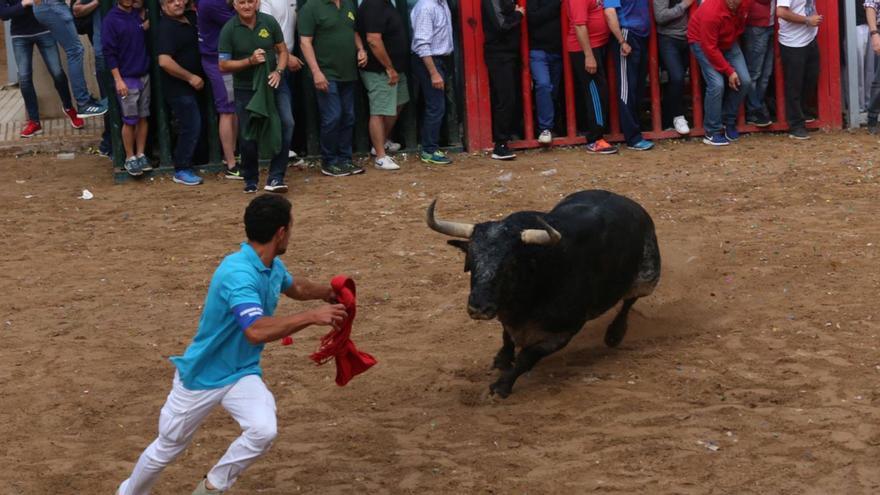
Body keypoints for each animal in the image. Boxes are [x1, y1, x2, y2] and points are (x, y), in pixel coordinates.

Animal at [426, 190, 660, 400]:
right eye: (472, 259)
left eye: (511, 263)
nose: (479, 308)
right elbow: (506, 336)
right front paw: (502, 360)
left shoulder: (562, 332)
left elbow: (527, 357)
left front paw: (501, 387)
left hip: (647, 277)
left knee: (629, 301)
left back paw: (614, 334)